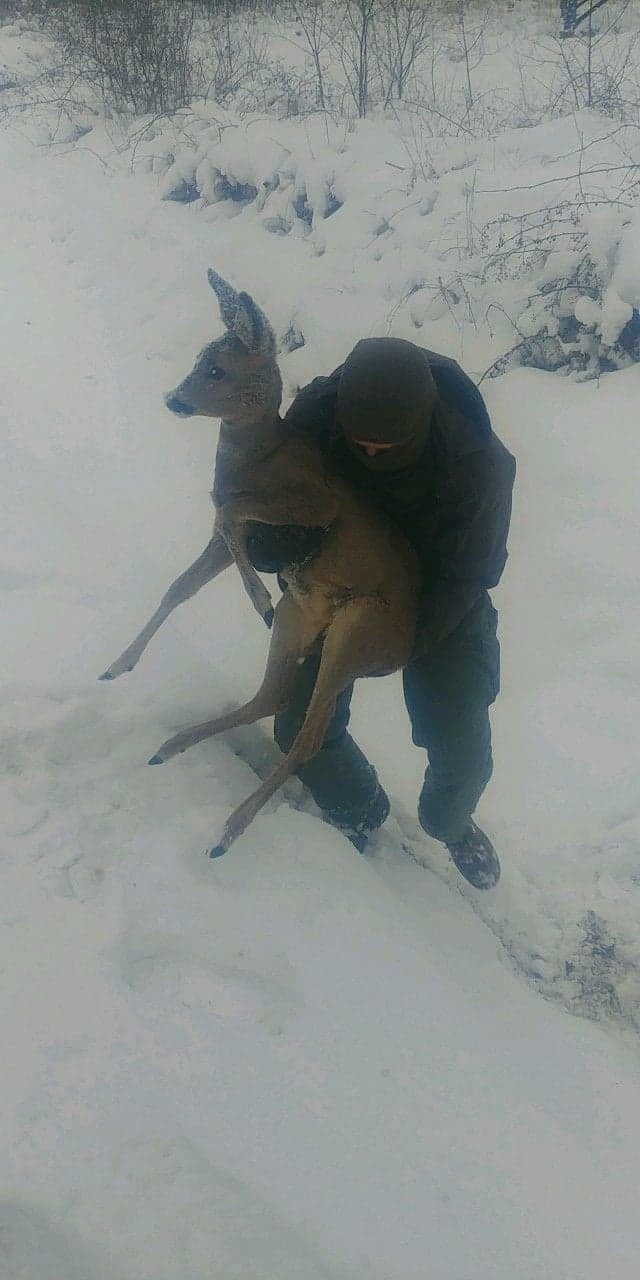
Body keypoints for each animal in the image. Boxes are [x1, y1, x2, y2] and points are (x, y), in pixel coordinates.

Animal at [101, 275, 419, 860]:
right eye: (199, 358)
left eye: (217, 369)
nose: (174, 398)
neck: (260, 457)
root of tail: (403, 650)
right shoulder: (224, 538)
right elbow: (181, 584)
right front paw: (116, 666)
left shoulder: (315, 506)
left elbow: (234, 515)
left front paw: (257, 596)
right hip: (305, 617)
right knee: (274, 695)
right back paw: (171, 747)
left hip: (360, 627)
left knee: (309, 736)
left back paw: (227, 832)